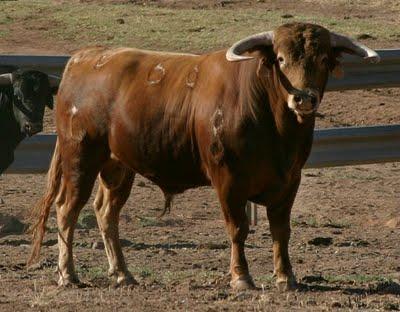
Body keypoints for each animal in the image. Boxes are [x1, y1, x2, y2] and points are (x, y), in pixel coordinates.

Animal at [29, 23, 380, 292]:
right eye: (280, 58)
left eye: (323, 58)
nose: (303, 98)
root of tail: (84, 57)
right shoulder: (228, 181)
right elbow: (237, 228)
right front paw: (241, 278)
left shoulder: (289, 180)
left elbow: (281, 230)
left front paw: (286, 277)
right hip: (81, 158)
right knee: (67, 209)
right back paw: (67, 275)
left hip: (118, 166)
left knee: (105, 212)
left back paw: (122, 274)